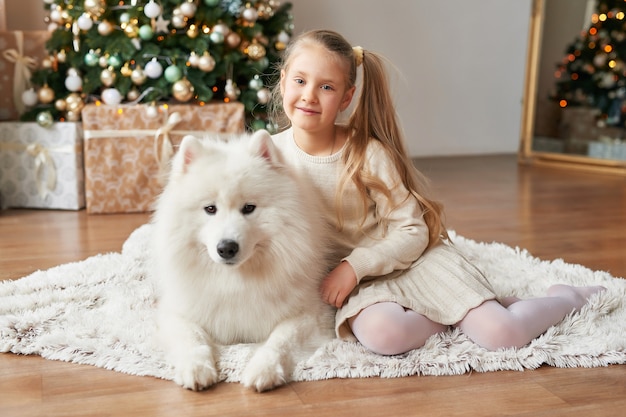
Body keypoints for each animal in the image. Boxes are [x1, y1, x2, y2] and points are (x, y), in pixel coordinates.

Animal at [151, 129, 334, 390]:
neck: (235, 281)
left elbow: (279, 341)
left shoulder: (311, 315)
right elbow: (191, 337)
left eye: (249, 208)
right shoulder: (176, 313)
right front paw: (196, 368)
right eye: (210, 209)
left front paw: (263, 369)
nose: (227, 248)